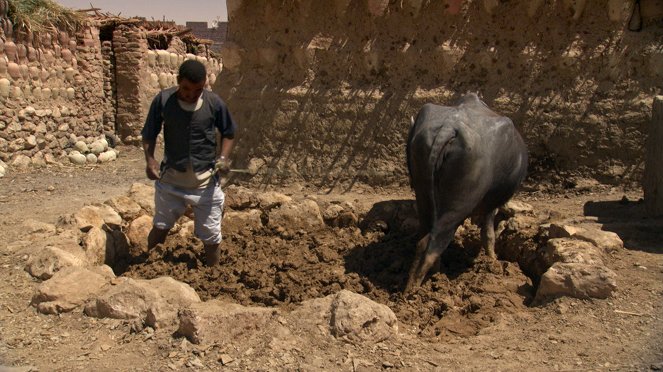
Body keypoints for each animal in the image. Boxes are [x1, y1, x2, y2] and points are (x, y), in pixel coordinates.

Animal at [404, 93, 528, 294]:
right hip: (457, 206)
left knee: (425, 236)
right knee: (432, 244)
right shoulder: (490, 206)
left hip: (424, 196)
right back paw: (414, 290)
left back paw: (429, 279)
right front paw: (493, 262)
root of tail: (449, 127)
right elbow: (488, 235)